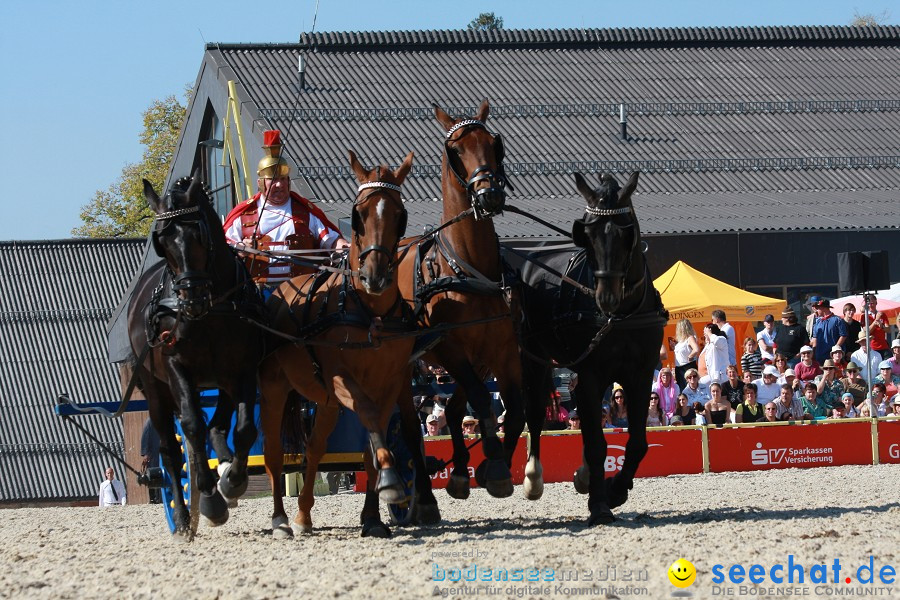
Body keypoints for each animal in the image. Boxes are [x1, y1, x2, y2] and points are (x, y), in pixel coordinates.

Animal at [125, 172, 264, 540]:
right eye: (162, 240)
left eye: (198, 234)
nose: (192, 300)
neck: (211, 312)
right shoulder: (177, 368)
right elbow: (191, 427)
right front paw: (210, 500)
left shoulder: (243, 368)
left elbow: (244, 429)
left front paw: (232, 482)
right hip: (156, 390)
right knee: (171, 451)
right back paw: (184, 517)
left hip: (221, 380)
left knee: (217, 426)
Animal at [256, 150, 440, 540]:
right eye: (358, 214)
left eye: (399, 214)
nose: (375, 275)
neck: (370, 311)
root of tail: (278, 290)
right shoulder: (343, 380)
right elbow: (369, 419)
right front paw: (391, 481)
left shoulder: (388, 383)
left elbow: (373, 444)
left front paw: (374, 515)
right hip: (274, 388)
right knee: (274, 454)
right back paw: (280, 520)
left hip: (325, 403)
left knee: (314, 449)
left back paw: (303, 515)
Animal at [400, 101, 524, 500]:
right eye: (455, 150)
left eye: (494, 144)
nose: (489, 195)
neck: (466, 267)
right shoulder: (450, 348)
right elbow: (482, 401)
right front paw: (495, 463)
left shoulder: (501, 349)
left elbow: (514, 410)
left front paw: (491, 466)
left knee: (454, 409)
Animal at [506, 172, 668, 524]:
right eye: (588, 235)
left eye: (626, 232)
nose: (606, 297)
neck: (622, 315)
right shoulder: (590, 372)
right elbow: (596, 443)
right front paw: (600, 505)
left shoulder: (640, 373)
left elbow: (637, 442)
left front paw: (615, 489)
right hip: (534, 356)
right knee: (534, 411)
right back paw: (533, 477)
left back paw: (583, 476)